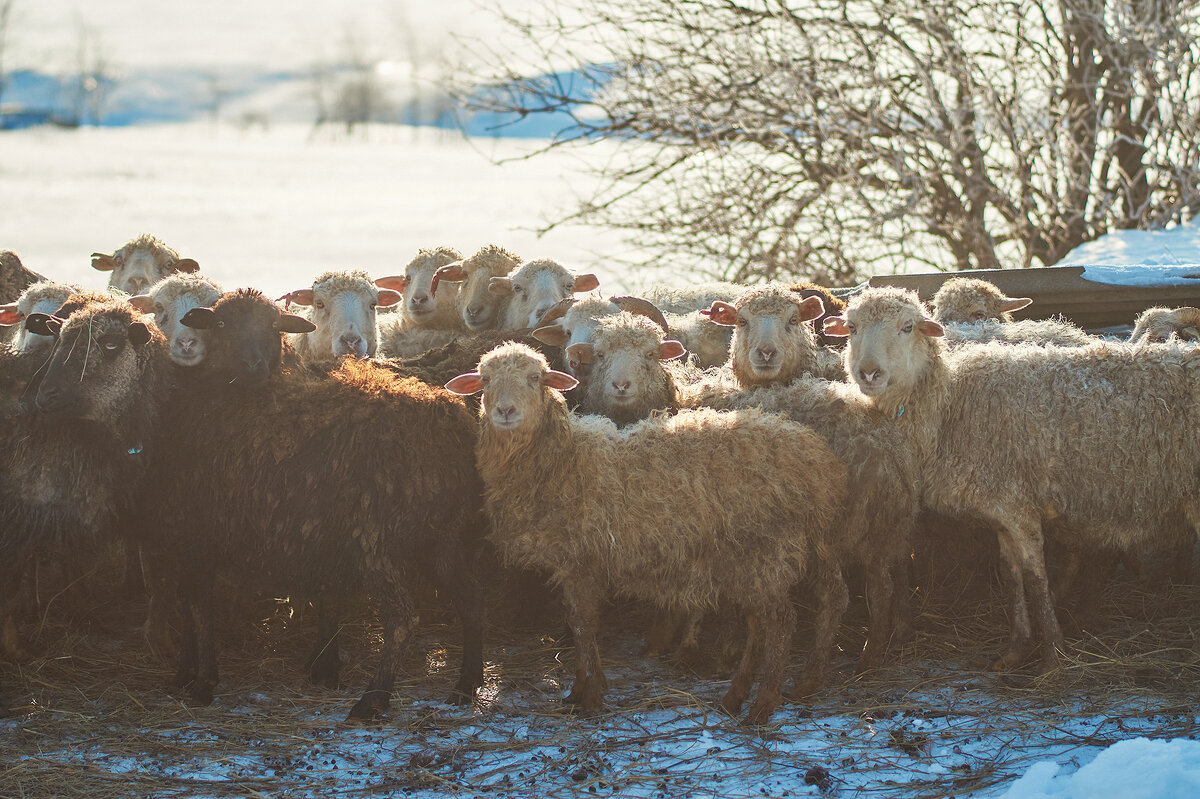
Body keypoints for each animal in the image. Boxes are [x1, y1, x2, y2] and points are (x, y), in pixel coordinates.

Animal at [446, 343, 849, 719]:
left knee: (781, 621)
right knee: (791, 611)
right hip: (781, 548)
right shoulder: (574, 564)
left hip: (767, 547)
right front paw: (579, 689)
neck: (564, 460)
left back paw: (763, 704)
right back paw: (749, 693)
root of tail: (813, 454)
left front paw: (591, 694)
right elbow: (578, 625)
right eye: (484, 380)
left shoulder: (581, 561)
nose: (505, 411)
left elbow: (583, 625)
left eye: (535, 378)